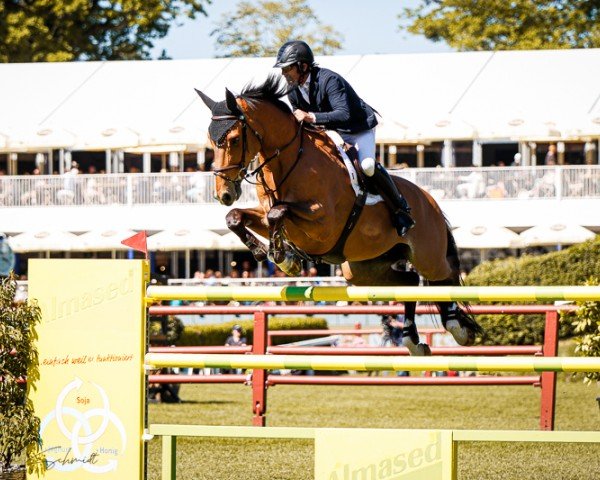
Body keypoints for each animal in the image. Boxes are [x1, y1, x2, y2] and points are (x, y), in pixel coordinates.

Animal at [197, 74, 482, 352]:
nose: (224, 194)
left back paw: (458, 327)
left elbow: (277, 213)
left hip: (427, 256)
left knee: (445, 278)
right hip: (362, 268)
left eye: (234, 139)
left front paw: (285, 259)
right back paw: (412, 338)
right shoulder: (269, 214)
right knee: (410, 282)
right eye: (210, 142)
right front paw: (268, 253)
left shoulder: (323, 225)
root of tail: (431, 201)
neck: (289, 162)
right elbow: (237, 217)